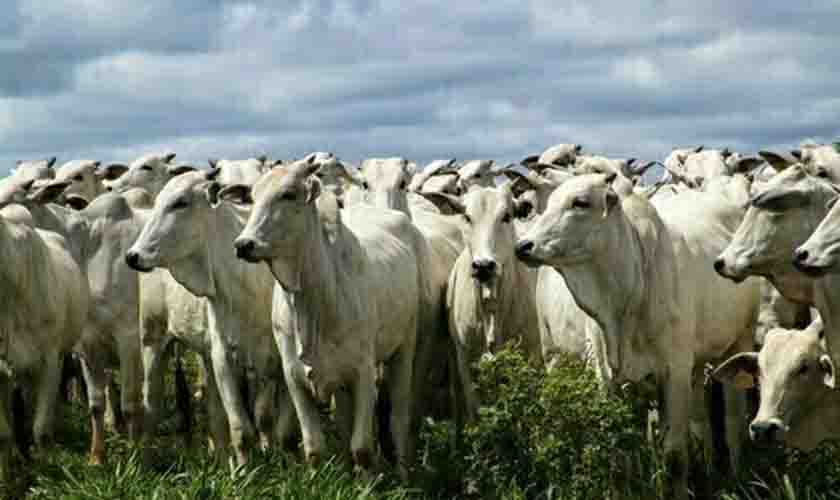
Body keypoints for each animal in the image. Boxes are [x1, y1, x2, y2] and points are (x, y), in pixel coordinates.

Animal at [230, 157, 430, 476]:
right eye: (252, 197)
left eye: (288, 194)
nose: (244, 244)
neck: (314, 302)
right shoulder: (294, 378)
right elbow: (314, 448)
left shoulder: (363, 372)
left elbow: (362, 448)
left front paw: (367, 482)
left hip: (405, 347)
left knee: (398, 419)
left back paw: (402, 471)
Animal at [516, 174, 764, 498]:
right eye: (548, 203)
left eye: (580, 202)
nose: (523, 245)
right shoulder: (607, 377)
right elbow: (616, 453)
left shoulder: (674, 372)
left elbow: (675, 456)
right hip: (554, 355)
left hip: (739, 341)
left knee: (733, 423)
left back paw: (735, 477)